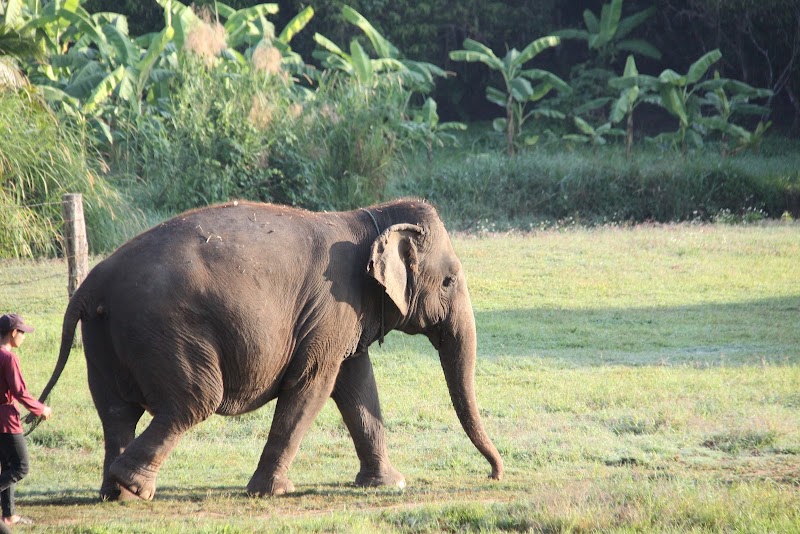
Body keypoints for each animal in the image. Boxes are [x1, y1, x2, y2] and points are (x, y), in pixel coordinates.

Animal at [32, 198, 503, 500]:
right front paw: (272, 492)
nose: (495, 475)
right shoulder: (331, 309)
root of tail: (91, 284)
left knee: (115, 411)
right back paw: (134, 487)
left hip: (104, 336)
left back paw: (114, 493)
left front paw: (388, 484)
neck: (368, 219)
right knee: (194, 400)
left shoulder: (341, 317)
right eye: (449, 281)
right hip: (166, 330)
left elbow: (357, 384)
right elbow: (314, 384)